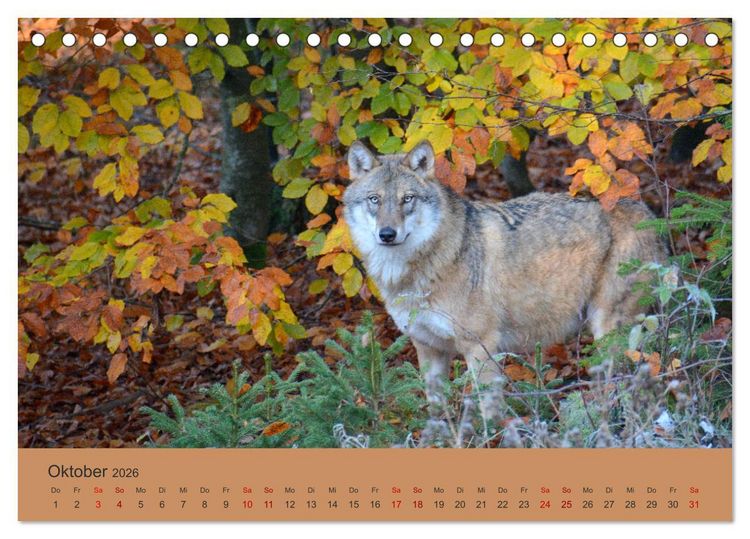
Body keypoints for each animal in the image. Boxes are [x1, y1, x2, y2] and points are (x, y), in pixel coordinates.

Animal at [343, 139, 667, 395]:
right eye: (375, 200)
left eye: (407, 199)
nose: (387, 234)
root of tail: (647, 212)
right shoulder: (428, 348)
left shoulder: (480, 346)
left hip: (608, 329)